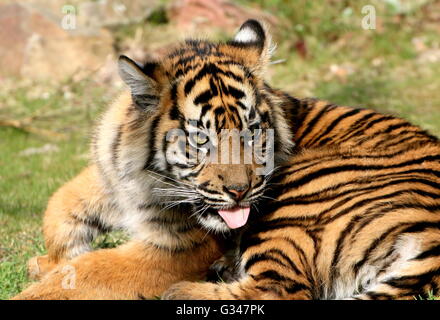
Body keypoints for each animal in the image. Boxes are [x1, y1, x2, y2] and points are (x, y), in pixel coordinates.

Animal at [13, 20, 440, 300]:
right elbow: (60, 206)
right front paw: (49, 261)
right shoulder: (108, 177)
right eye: (201, 139)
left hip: (297, 196)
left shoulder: (178, 249)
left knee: (281, 289)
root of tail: (432, 238)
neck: (141, 181)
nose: (240, 192)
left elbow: (94, 268)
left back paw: (183, 290)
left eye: (252, 132)